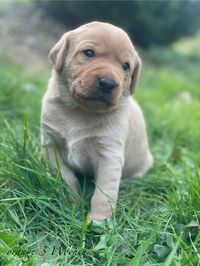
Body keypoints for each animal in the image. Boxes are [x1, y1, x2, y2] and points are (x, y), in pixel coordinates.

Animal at [40, 20, 153, 221]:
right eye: (88, 53)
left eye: (126, 66)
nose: (108, 83)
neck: (80, 112)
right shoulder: (51, 145)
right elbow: (66, 179)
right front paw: (71, 204)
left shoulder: (110, 155)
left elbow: (103, 194)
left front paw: (99, 221)